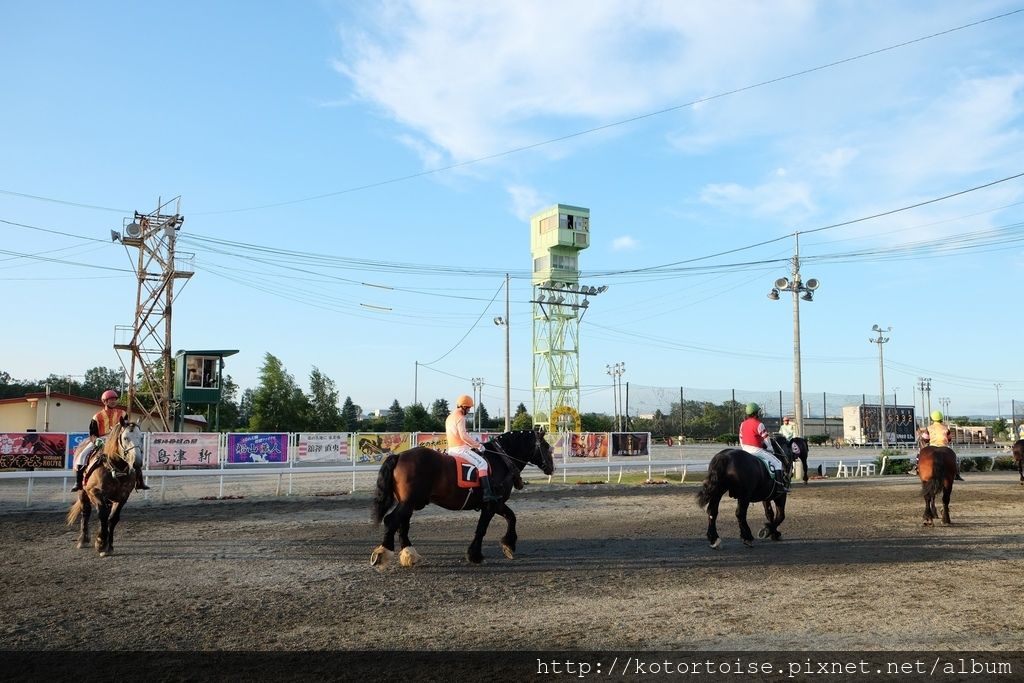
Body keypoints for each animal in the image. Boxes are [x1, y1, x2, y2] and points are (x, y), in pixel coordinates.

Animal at [66, 421, 144, 557]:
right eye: (125, 438)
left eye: (141, 438)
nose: (137, 463)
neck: (115, 469)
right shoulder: (95, 492)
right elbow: (102, 515)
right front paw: (101, 543)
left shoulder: (123, 496)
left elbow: (112, 518)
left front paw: (109, 546)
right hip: (83, 492)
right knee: (86, 511)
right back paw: (83, 539)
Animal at [372, 430, 557, 569]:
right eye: (547, 447)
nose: (552, 468)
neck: (500, 459)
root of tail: (399, 456)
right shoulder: (491, 504)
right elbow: (482, 528)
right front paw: (475, 555)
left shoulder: (497, 504)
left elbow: (512, 517)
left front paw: (508, 545)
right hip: (409, 502)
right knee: (391, 520)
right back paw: (382, 554)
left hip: (409, 503)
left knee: (402, 524)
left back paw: (409, 554)